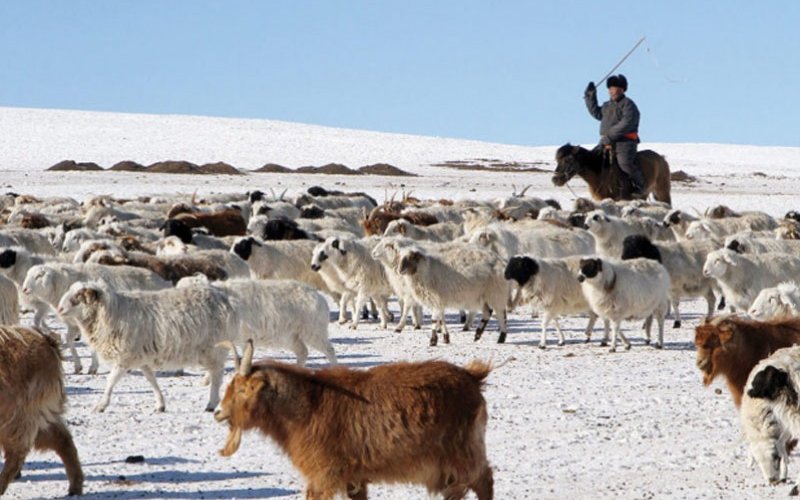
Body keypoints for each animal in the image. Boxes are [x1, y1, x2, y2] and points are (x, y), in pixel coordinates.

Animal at [0, 324, 83, 496]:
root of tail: (45, 340)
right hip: (37, 413)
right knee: (61, 439)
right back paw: (75, 485)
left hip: (18, 412)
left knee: (17, 452)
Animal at [57, 280, 236, 412]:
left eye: (79, 296)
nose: (59, 308)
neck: (112, 312)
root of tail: (223, 298)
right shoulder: (141, 356)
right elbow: (151, 379)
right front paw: (160, 404)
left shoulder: (125, 356)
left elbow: (111, 380)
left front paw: (101, 405)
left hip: (213, 348)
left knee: (217, 374)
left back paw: (211, 403)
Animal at [219, 342, 494, 500]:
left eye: (242, 389)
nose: (218, 412)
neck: (308, 405)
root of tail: (472, 377)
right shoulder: (354, 477)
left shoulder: (324, 475)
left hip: (464, 453)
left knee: (484, 480)